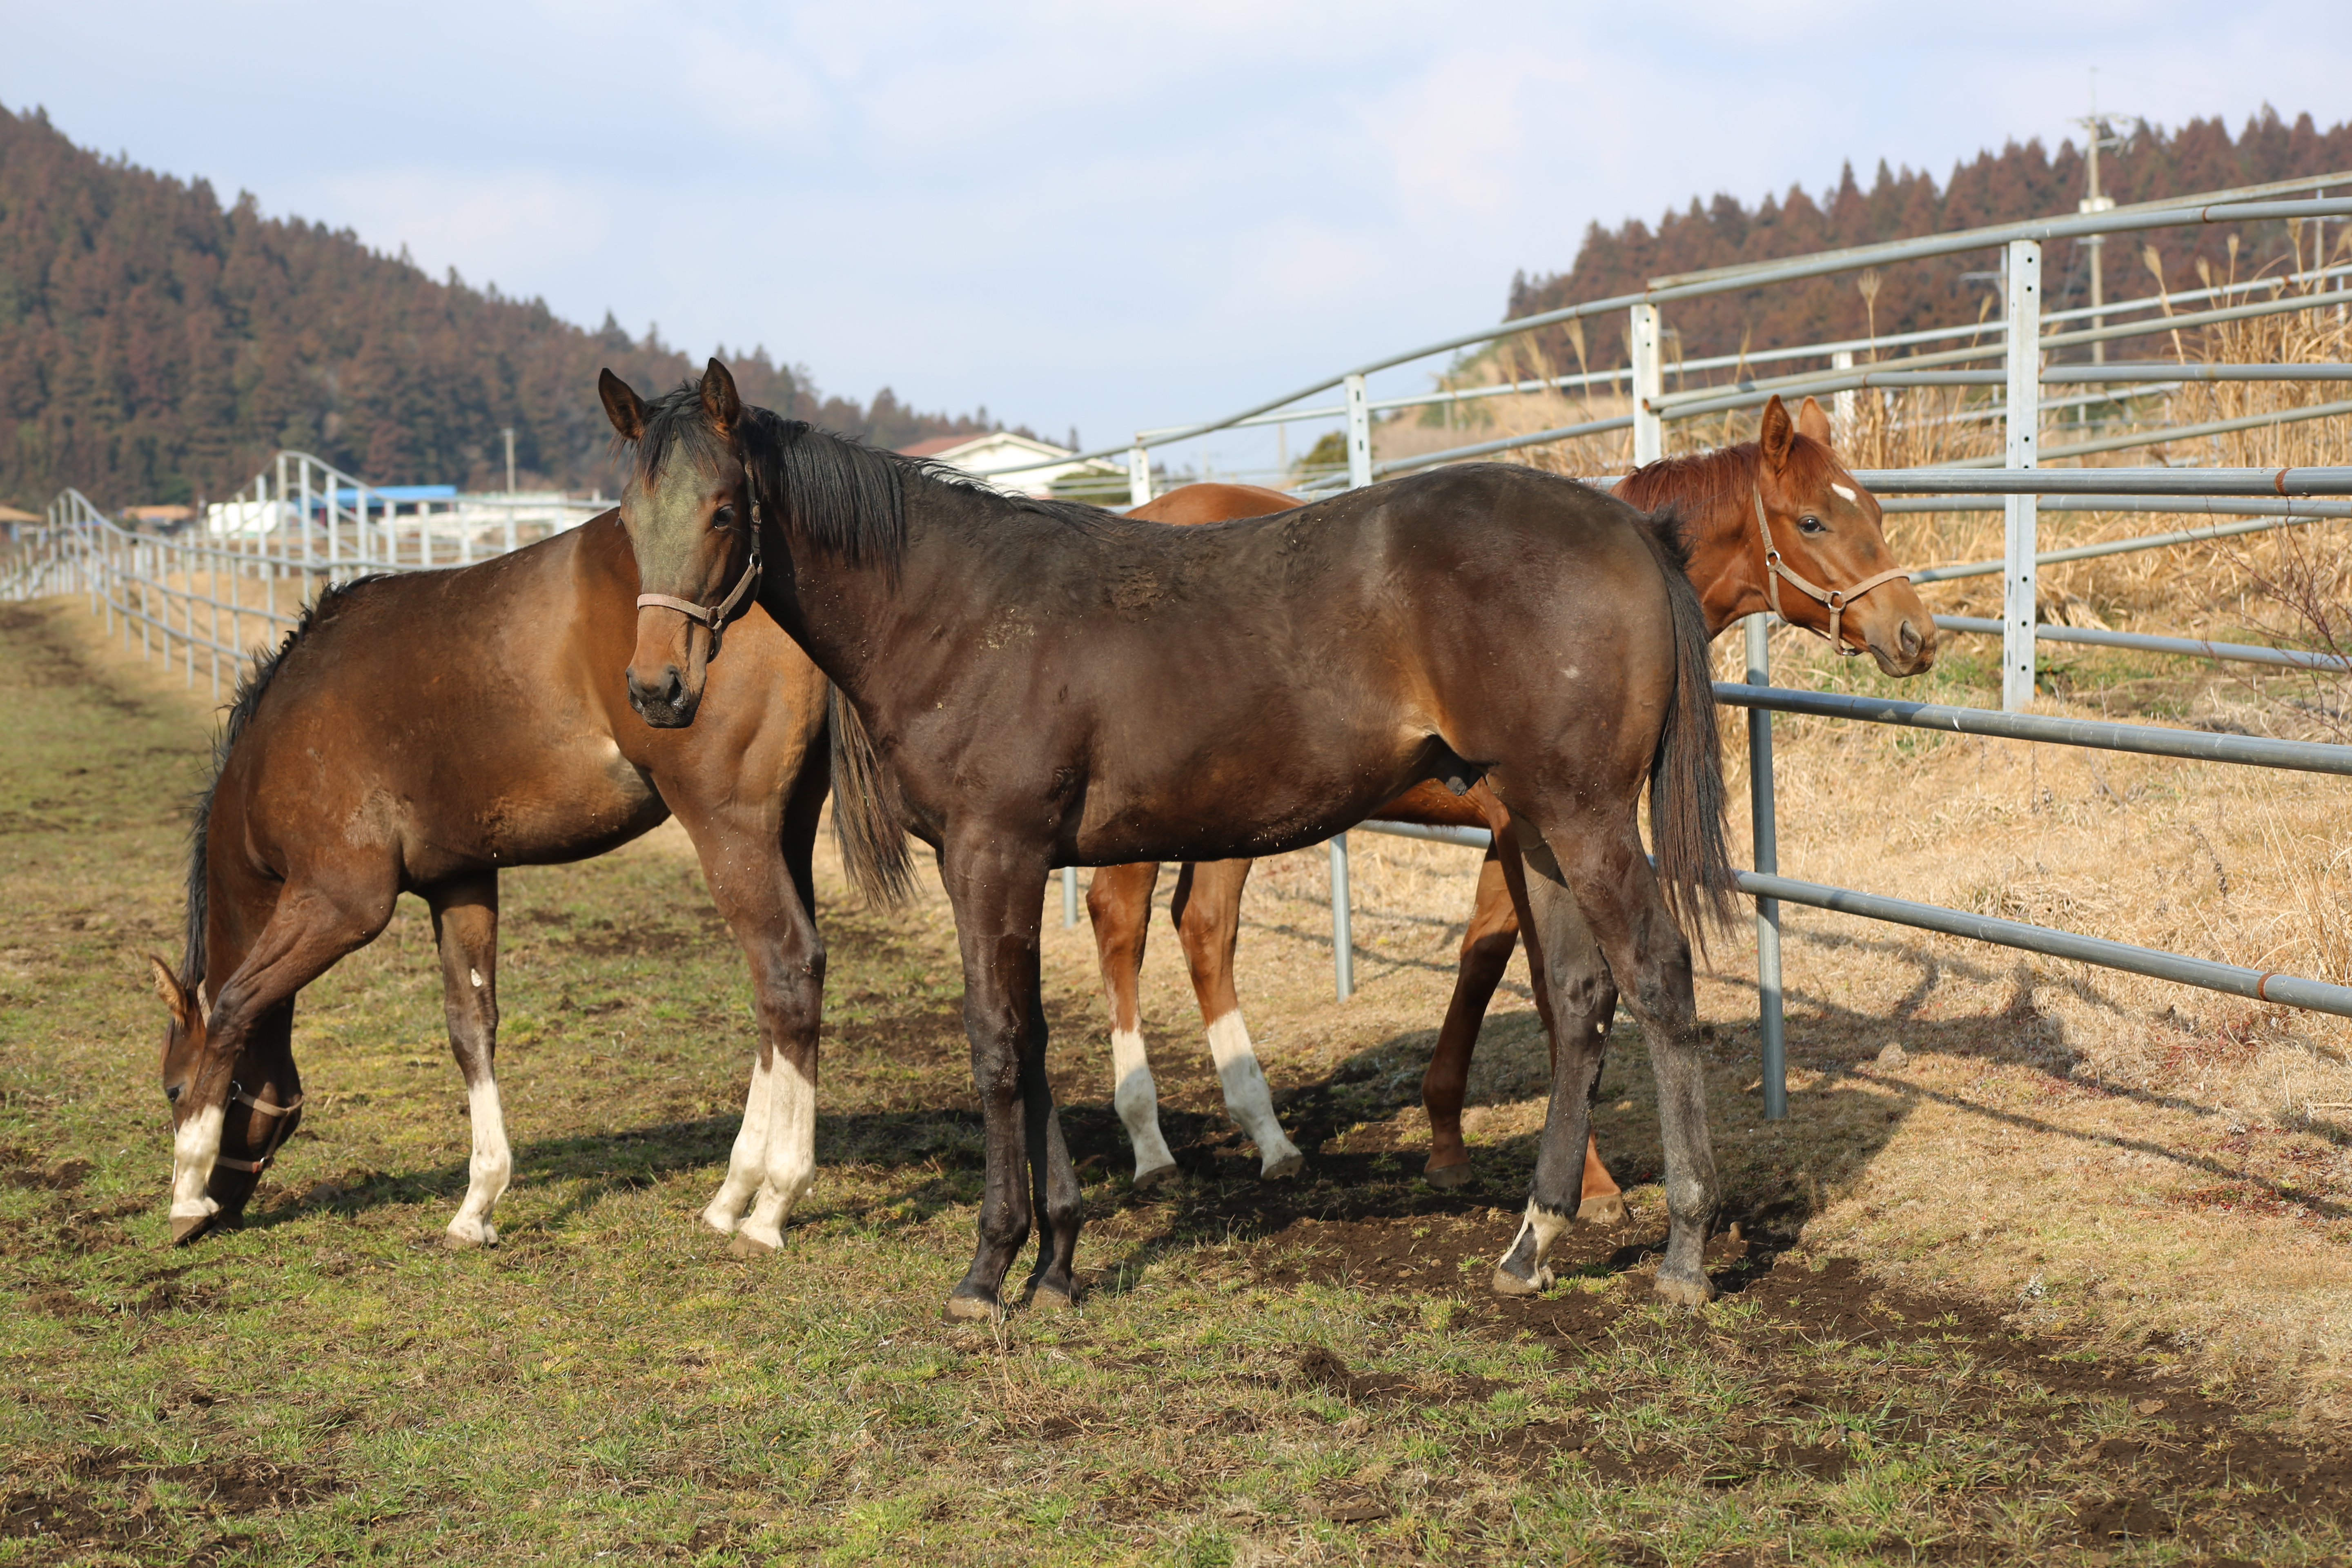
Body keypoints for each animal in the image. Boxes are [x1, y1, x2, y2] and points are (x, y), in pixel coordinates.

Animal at [137, 522, 861, 1260]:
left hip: (728, 830)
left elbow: (235, 1006)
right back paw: (732, 1195)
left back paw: (772, 1203)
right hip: (786, 831)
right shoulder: (458, 882)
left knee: (787, 970)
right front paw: (478, 1202)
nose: (218, 1216)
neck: (284, 730)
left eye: (173, 1090)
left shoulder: (341, 903)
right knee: (778, 996)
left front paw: (186, 1191)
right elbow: (470, 1027)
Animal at [602, 362, 1750, 1316]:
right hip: (1538, 825)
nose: (657, 689)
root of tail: (1629, 528)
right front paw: (1057, 1263)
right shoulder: (1009, 863)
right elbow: (1031, 1039)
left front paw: (989, 1268)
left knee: (1657, 975)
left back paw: (1685, 1251)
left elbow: (995, 1044)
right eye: (629, 516)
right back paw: (1534, 1241)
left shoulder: (991, 854)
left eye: (723, 510)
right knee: (1581, 998)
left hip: (1583, 815)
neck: (955, 612)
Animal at [1082, 395, 1929, 1203]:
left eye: (1875, 512)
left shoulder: (1517, 833)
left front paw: (1449, 1142)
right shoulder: (1530, 828)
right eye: (1813, 520)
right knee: (1121, 922)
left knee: (1205, 927)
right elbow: (1550, 989)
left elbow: (1484, 958)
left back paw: (1271, 1140)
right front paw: (1590, 1185)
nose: (1915, 633)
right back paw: (1151, 1147)